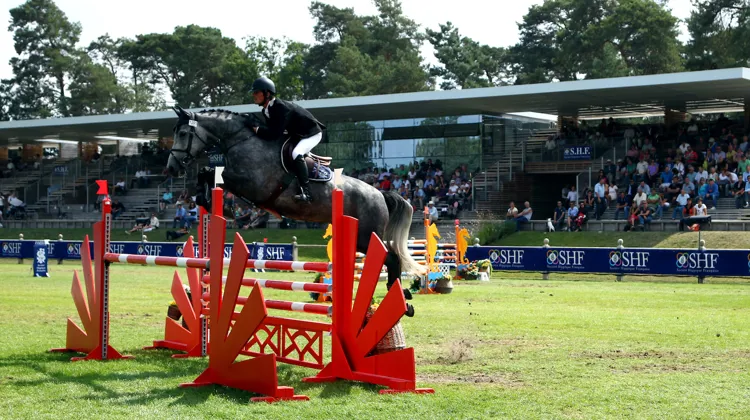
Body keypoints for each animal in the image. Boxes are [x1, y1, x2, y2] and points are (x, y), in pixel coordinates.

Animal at [164, 106, 425, 316]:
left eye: (184, 134)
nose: (171, 168)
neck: (241, 140)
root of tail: (380, 194)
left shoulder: (253, 184)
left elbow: (213, 173)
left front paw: (224, 208)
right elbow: (207, 174)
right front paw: (208, 201)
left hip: (367, 236)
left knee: (391, 258)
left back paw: (402, 299)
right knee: (390, 258)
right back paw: (402, 296)